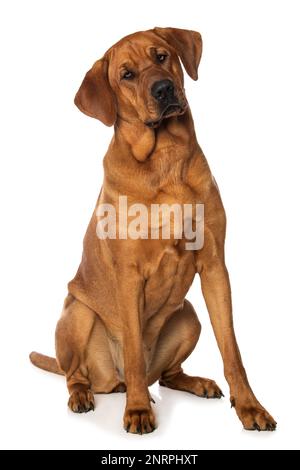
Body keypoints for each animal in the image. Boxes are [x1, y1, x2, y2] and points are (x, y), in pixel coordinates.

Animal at [30, 26, 276, 434]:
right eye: (127, 75)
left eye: (161, 56)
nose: (163, 89)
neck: (165, 156)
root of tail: (113, 382)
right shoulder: (129, 276)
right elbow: (132, 349)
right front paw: (138, 411)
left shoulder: (214, 266)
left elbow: (232, 349)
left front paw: (250, 407)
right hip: (78, 313)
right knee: (78, 373)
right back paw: (84, 395)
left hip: (189, 314)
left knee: (164, 375)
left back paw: (194, 383)